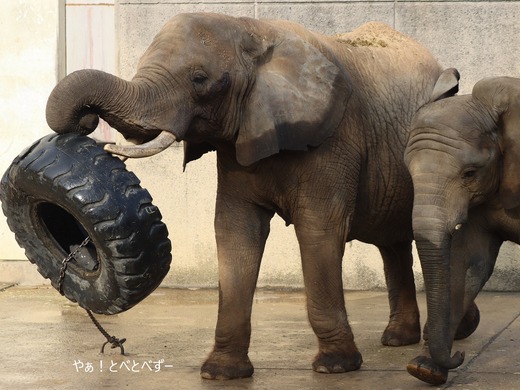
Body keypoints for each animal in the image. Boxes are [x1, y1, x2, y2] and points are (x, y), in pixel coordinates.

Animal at [44, 12, 462, 380]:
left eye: (199, 79)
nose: (87, 123)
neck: (254, 30)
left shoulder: (336, 138)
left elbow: (319, 230)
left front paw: (335, 366)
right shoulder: (238, 145)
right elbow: (236, 231)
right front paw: (220, 373)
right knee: (393, 243)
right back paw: (397, 340)